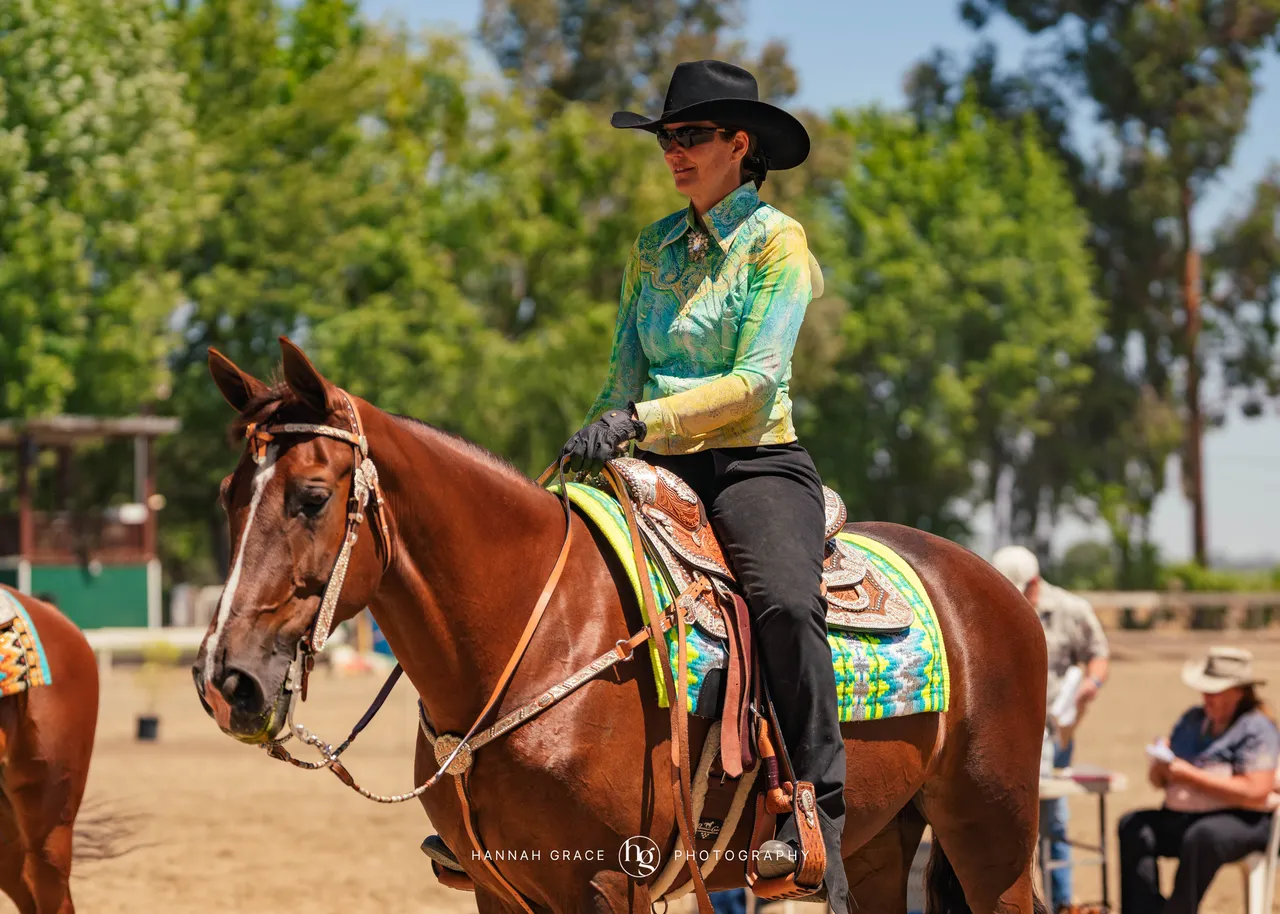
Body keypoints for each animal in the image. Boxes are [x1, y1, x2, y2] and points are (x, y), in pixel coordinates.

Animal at [192, 337, 1049, 914]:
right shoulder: (501, 891)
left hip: (993, 836)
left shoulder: (609, 885)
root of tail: (996, 590)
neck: (536, 634)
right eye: (230, 496)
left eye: (310, 497)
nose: (225, 680)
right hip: (881, 845)